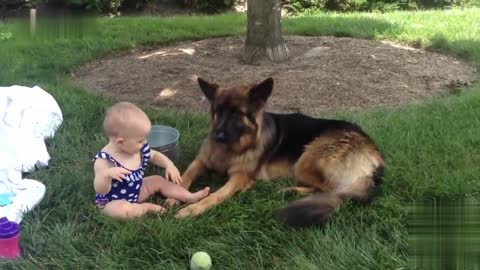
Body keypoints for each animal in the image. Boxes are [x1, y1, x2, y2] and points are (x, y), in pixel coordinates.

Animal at [171, 77, 384, 227]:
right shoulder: (200, 161)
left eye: (236, 113)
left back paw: (291, 190)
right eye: (218, 111)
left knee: (329, 189)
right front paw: (174, 196)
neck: (232, 149)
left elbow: (217, 194)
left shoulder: (239, 176)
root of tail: (372, 149)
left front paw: (192, 209)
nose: (217, 136)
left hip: (306, 158)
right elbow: (183, 177)